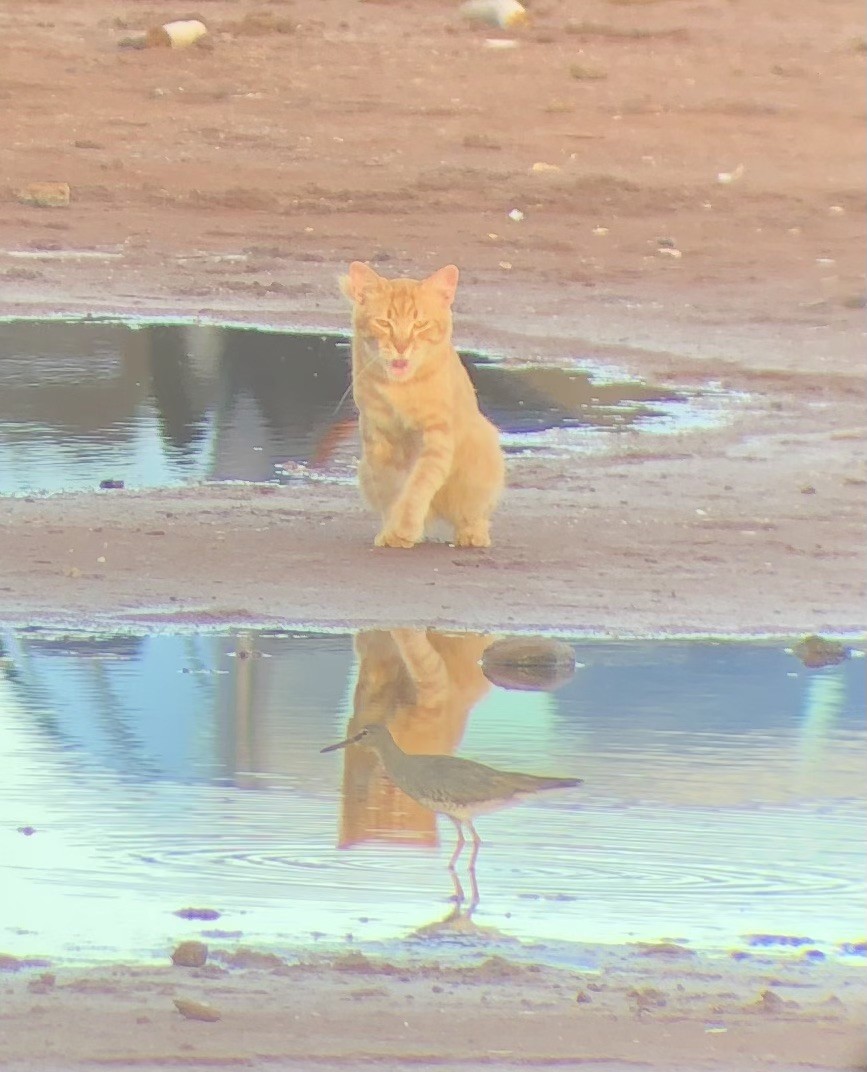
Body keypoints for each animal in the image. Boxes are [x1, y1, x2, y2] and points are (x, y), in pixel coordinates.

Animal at [336, 262, 501, 548]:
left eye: (420, 324)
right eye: (384, 322)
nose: (402, 346)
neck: (400, 388)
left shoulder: (436, 438)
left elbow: (417, 486)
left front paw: (403, 528)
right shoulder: (379, 440)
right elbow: (392, 491)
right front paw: (394, 530)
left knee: (471, 514)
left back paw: (472, 535)